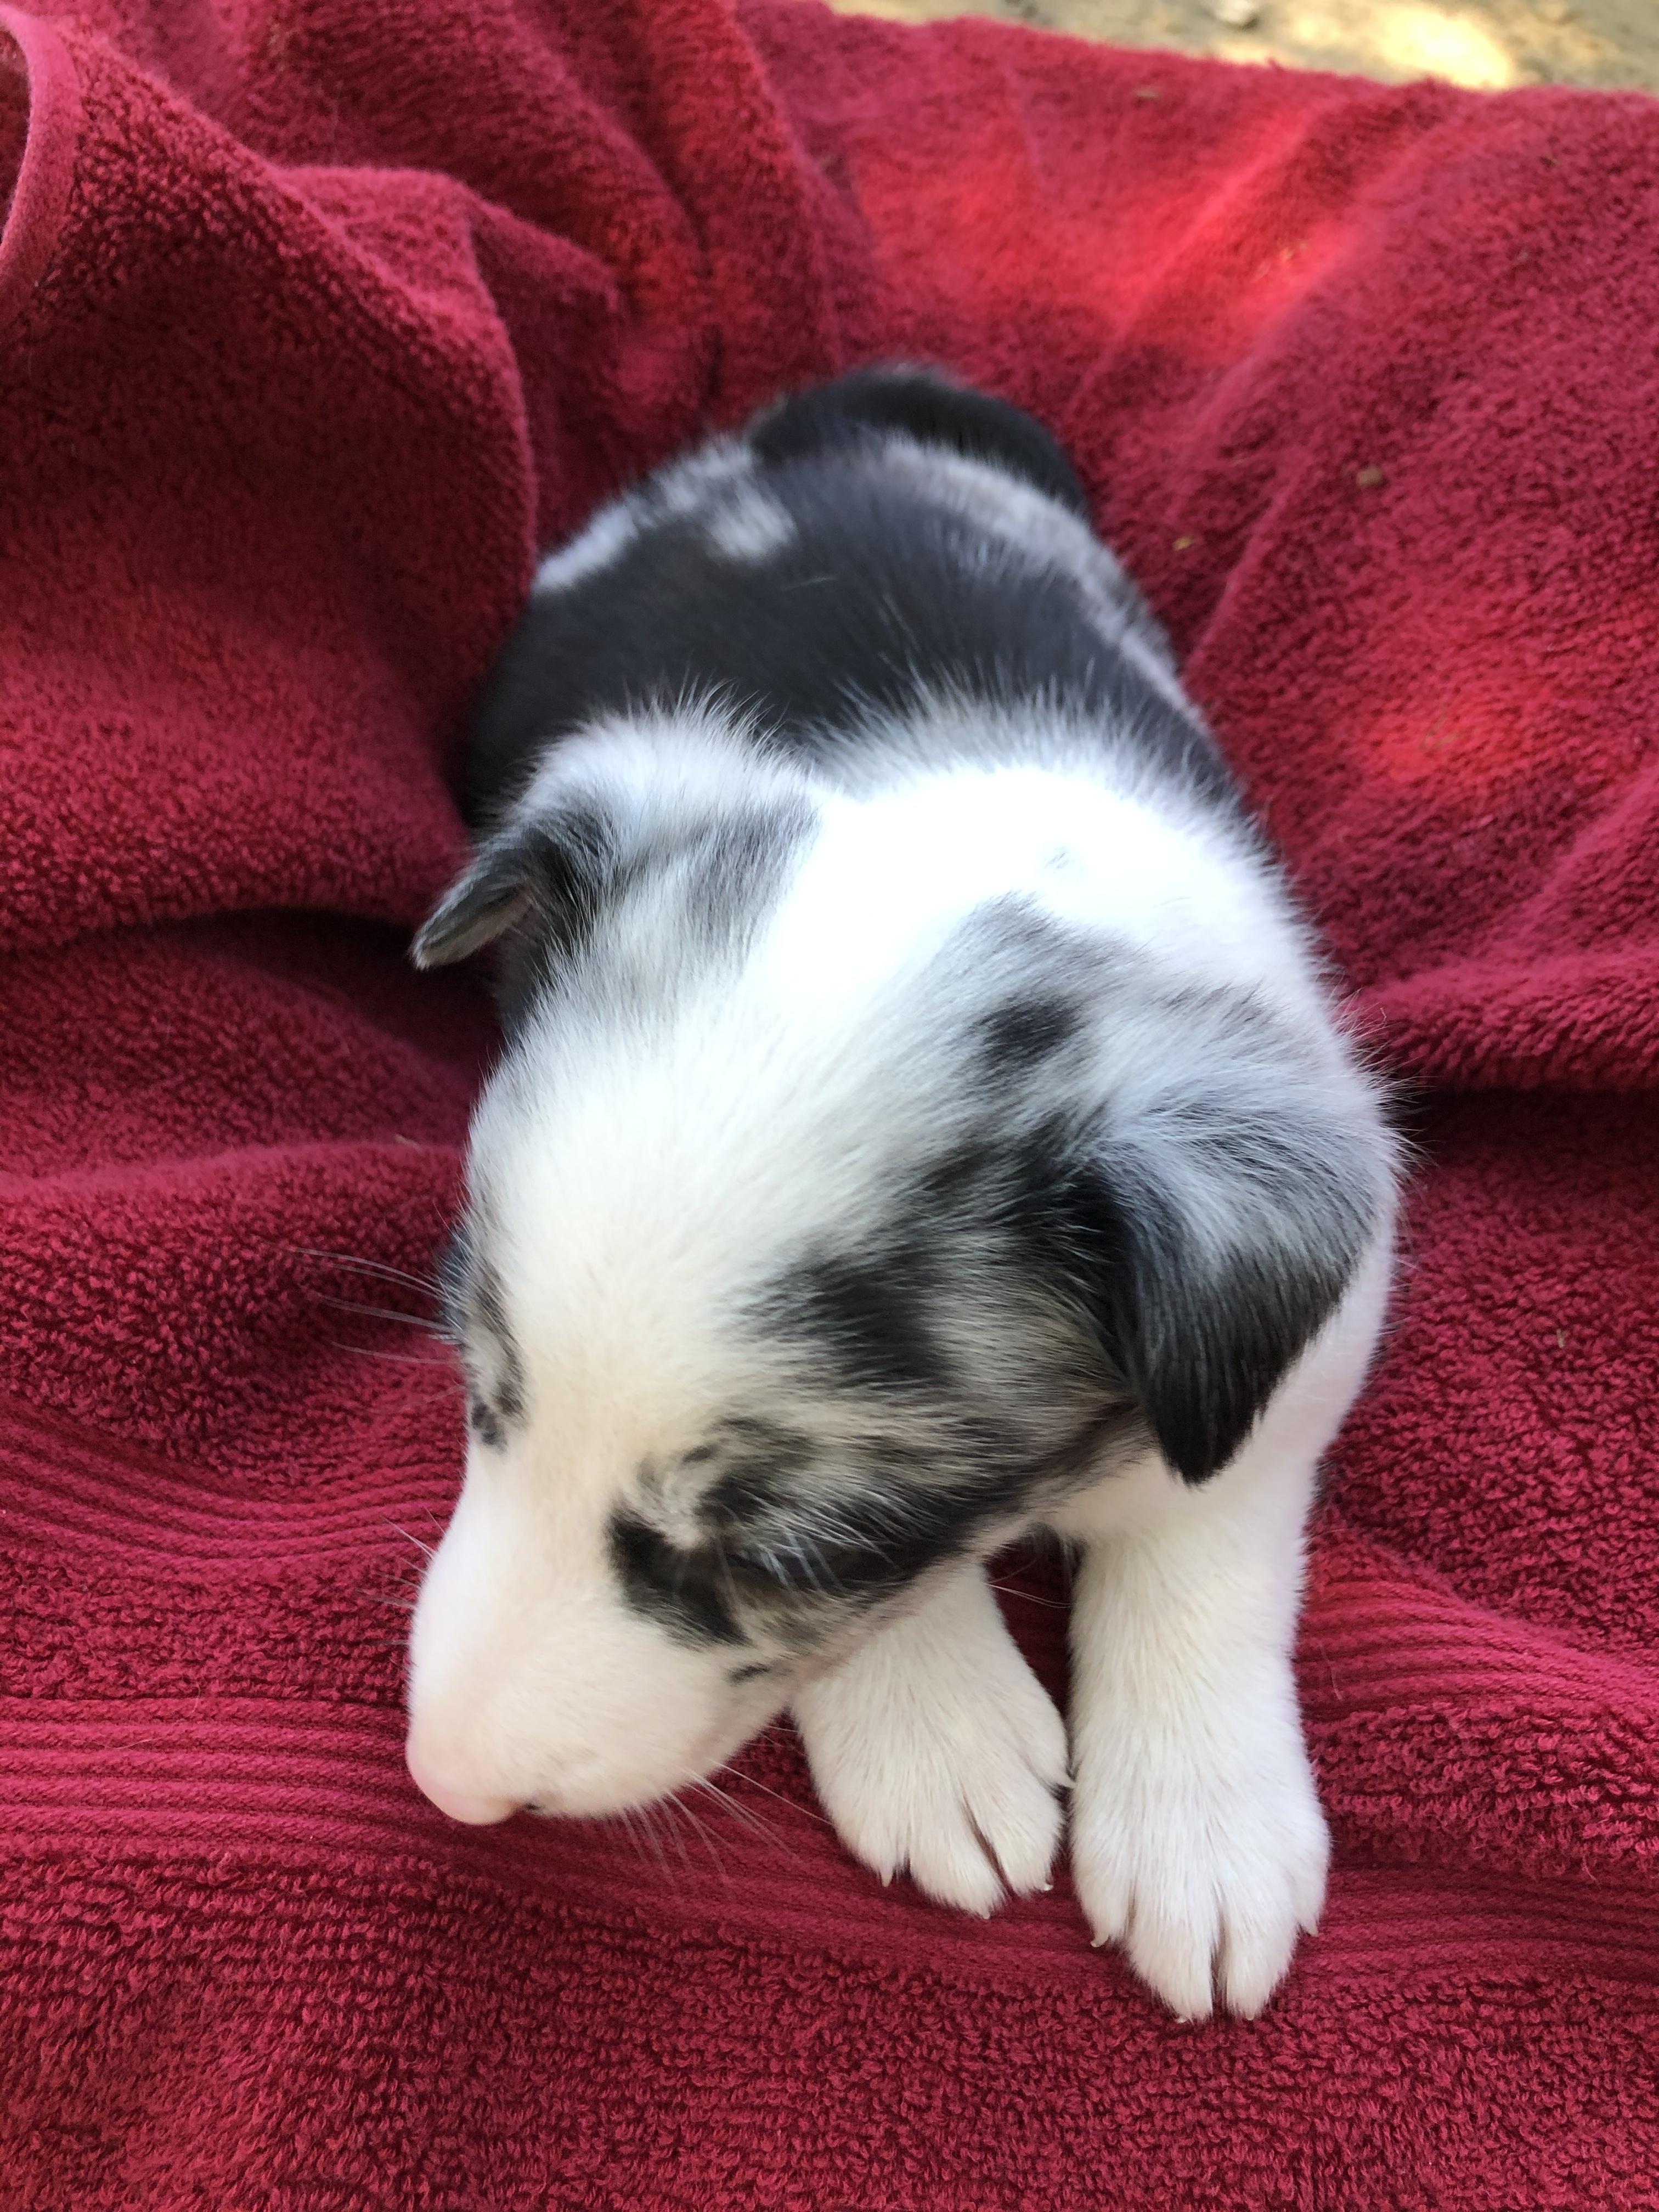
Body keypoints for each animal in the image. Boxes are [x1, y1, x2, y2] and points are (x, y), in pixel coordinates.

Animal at [403, 367, 1398, 2020]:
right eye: (483, 1400)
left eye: (793, 1557)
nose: (447, 1783)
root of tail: (810, 426)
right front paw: (938, 1737)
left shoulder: (1304, 1338)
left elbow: (1205, 1538)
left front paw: (1201, 1824)